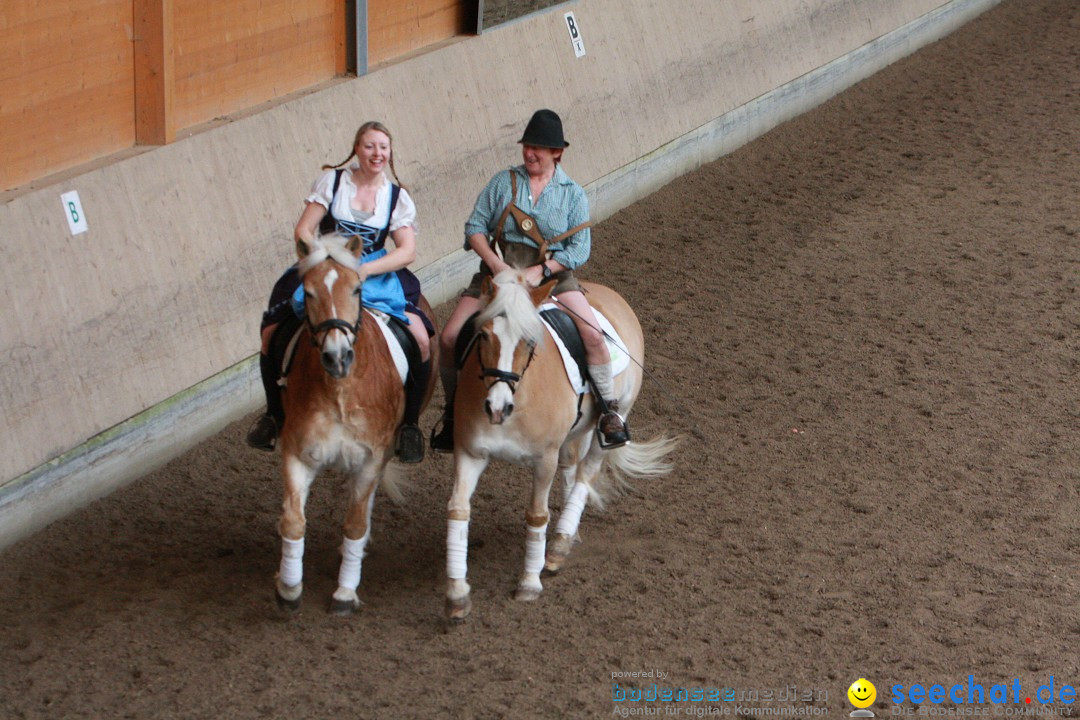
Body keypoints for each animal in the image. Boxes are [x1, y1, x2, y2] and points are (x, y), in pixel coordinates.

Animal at [274, 234, 438, 617]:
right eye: (309, 292)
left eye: (356, 289)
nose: (337, 357)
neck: (339, 391)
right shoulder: (298, 452)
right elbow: (292, 521)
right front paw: (288, 587)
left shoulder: (371, 457)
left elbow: (355, 522)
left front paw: (345, 592)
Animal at [444, 268, 673, 621]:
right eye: (482, 335)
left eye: (529, 340)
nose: (497, 408)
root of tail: (610, 295)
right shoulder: (470, 453)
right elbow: (457, 510)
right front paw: (457, 594)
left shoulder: (544, 460)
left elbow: (537, 516)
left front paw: (529, 583)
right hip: (572, 434)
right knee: (571, 468)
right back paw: (569, 532)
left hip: (616, 414)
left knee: (586, 473)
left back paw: (560, 543)